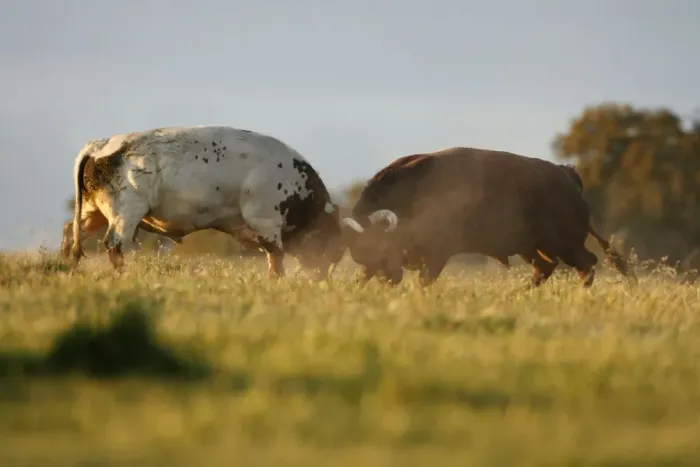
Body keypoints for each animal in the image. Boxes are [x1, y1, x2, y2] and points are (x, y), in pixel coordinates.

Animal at [61, 126, 346, 280]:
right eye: (331, 248)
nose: (321, 278)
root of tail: (101, 145)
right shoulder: (266, 222)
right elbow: (276, 257)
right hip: (125, 213)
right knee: (114, 245)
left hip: (93, 212)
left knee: (71, 234)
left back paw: (68, 268)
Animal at [339, 147, 636, 288]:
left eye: (380, 244)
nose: (391, 278)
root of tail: (566, 174)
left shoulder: (438, 254)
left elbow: (425, 279)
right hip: (533, 248)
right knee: (547, 267)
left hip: (565, 245)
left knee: (586, 264)